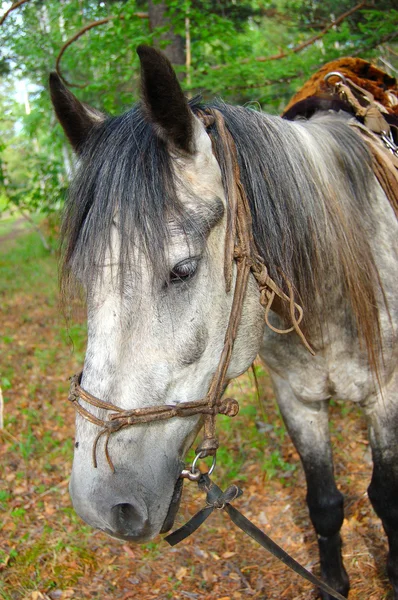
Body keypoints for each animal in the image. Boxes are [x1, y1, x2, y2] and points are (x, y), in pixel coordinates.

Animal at [49, 48, 398, 600]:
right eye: (85, 277)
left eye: (183, 269)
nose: (101, 506)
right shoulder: (297, 399)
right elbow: (324, 504)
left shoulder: (387, 395)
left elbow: (385, 498)